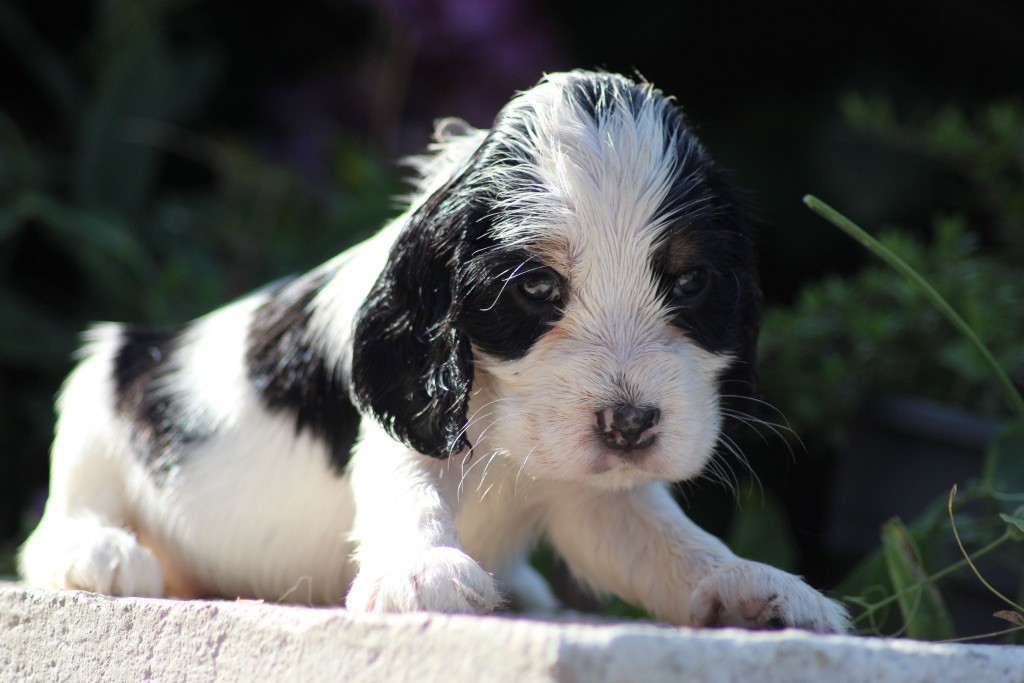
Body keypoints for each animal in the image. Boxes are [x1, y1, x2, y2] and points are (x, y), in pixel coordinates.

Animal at [22, 72, 847, 634]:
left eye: (691, 281)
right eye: (537, 287)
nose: (631, 424)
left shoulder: (597, 496)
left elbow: (671, 543)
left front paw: (761, 586)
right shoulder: (404, 418)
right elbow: (407, 482)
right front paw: (424, 570)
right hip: (98, 391)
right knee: (55, 523)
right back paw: (97, 551)